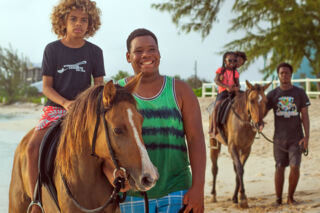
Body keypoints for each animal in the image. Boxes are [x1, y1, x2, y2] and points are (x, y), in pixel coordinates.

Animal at [210, 80, 270, 208]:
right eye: (251, 100)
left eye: (265, 101)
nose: (259, 124)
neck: (243, 122)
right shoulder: (232, 147)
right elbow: (240, 169)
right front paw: (242, 198)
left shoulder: (246, 149)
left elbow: (239, 170)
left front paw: (236, 197)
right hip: (213, 142)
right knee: (214, 168)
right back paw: (213, 195)